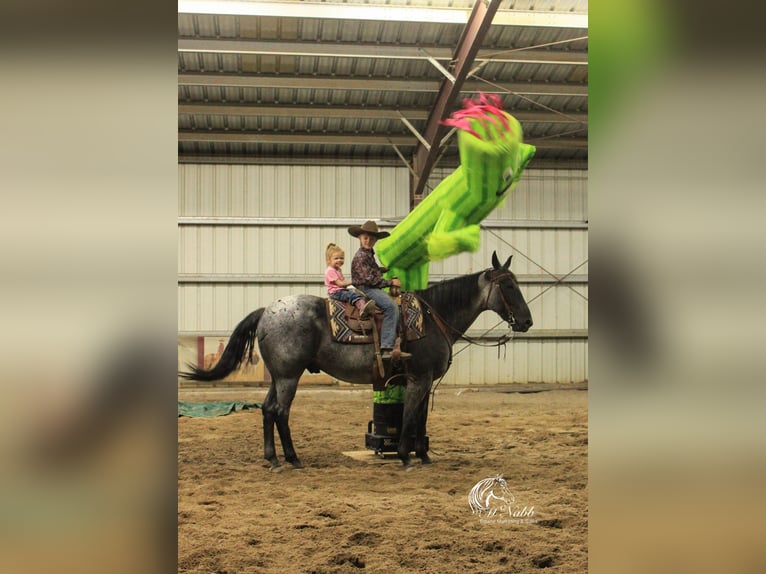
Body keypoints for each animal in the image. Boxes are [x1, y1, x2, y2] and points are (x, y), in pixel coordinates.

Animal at [184, 254, 536, 470]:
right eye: (508, 285)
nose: (527, 321)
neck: (433, 318)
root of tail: (267, 311)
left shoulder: (423, 381)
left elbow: (421, 419)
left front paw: (423, 456)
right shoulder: (418, 379)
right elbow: (410, 417)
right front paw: (406, 457)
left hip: (279, 376)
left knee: (268, 409)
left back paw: (273, 458)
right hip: (288, 378)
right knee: (280, 412)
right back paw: (293, 459)